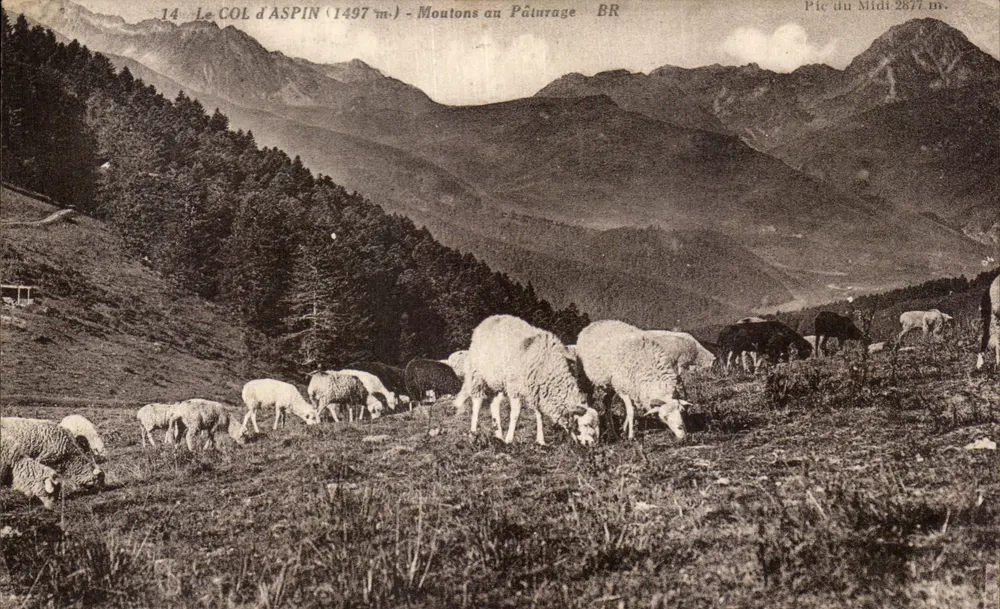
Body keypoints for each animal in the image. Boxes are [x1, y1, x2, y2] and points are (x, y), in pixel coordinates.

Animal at [459, 314, 599, 446]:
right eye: (586, 424)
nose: (592, 444)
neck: (547, 365)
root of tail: (490, 319)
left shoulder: (537, 391)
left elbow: (539, 415)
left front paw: (541, 440)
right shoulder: (515, 388)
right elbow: (515, 414)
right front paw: (509, 439)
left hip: (498, 381)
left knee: (494, 404)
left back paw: (498, 435)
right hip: (477, 374)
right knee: (477, 403)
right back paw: (473, 433)